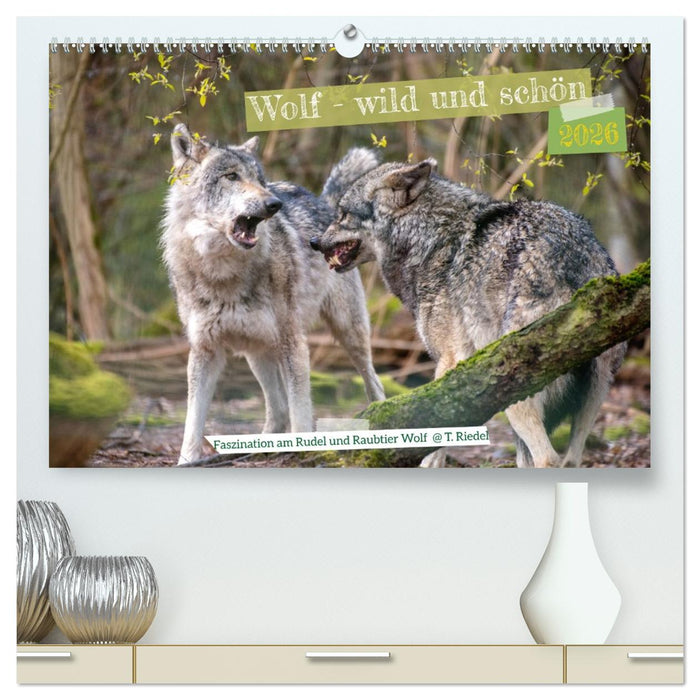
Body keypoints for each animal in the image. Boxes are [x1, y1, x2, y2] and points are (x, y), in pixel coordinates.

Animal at [161, 125, 385, 464]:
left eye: (259, 179)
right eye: (231, 176)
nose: (274, 204)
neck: (223, 274)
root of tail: (325, 202)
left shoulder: (294, 342)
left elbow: (301, 411)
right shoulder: (204, 350)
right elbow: (192, 421)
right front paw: (187, 461)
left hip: (347, 332)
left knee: (373, 381)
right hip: (258, 352)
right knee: (277, 410)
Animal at [310, 156, 626, 468]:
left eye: (342, 214)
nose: (313, 242)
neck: (428, 238)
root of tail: (574, 260)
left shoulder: (450, 362)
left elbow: (435, 447)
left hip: (516, 398)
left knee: (547, 458)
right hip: (589, 401)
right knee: (568, 459)